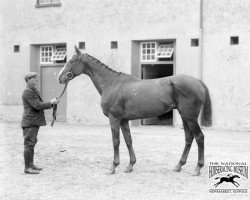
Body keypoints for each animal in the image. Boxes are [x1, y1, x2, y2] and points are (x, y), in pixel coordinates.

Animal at [57, 46, 212, 176]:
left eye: (71, 61)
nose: (60, 78)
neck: (111, 84)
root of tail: (198, 81)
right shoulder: (124, 120)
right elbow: (128, 140)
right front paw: (130, 165)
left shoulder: (114, 118)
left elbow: (116, 141)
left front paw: (113, 167)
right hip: (185, 117)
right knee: (188, 138)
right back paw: (179, 165)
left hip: (190, 117)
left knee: (199, 137)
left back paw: (197, 168)